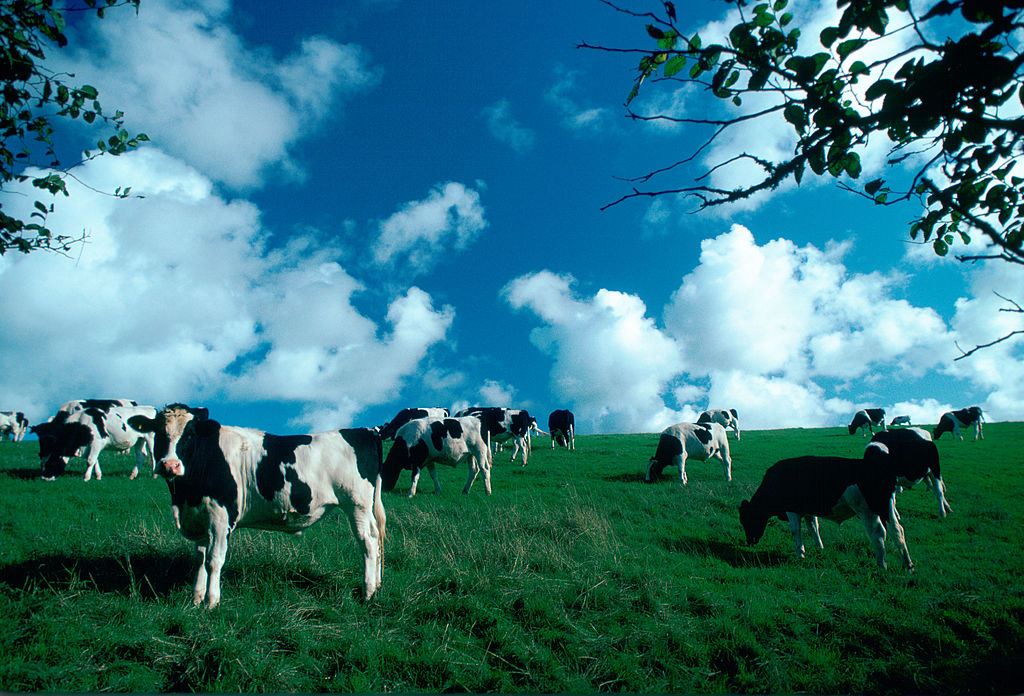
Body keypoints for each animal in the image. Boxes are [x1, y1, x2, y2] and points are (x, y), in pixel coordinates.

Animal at [126, 405, 385, 605]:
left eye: (189, 435)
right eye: (159, 433)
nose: (169, 465)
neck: (186, 495)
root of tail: (365, 432)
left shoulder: (220, 518)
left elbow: (214, 560)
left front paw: (211, 602)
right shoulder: (199, 517)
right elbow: (199, 559)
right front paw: (195, 599)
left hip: (357, 504)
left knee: (368, 541)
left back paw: (368, 591)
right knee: (377, 537)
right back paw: (377, 586)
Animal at [737, 446, 921, 569]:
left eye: (746, 520)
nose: (750, 542)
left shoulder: (792, 510)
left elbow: (796, 531)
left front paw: (800, 554)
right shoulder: (808, 510)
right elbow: (813, 528)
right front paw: (819, 549)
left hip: (868, 511)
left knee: (878, 534)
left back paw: (881, 566)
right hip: (887, 510)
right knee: (898, 531)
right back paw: (908, 566)